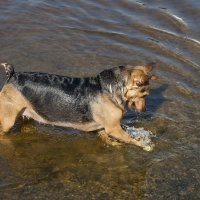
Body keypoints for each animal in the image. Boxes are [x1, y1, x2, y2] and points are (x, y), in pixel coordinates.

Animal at [0, 62, 157, 148]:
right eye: (144, 95)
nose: (145, 109)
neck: (110, 88)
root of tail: (12, 75)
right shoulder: (114, 128)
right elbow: (130, 139)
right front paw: (144, 144)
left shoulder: (104, 127)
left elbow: (106, 137)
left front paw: (114, 144)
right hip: (8, 119)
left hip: (26, 112)